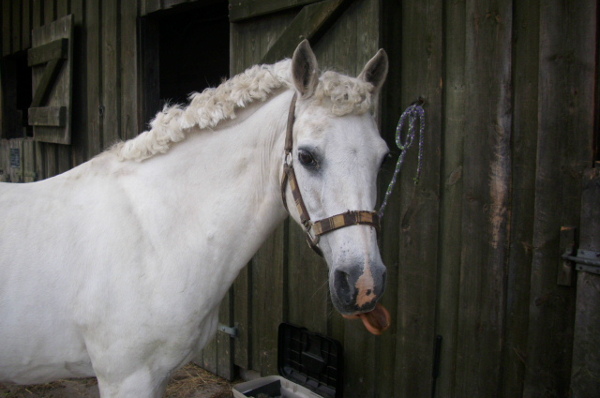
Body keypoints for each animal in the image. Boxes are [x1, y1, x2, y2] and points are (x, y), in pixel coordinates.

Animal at [0, 42, 390, 396]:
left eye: (383, 157)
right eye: (307, 157)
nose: (364, 284)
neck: (154, 234)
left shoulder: (155, 377)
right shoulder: (126, 378)